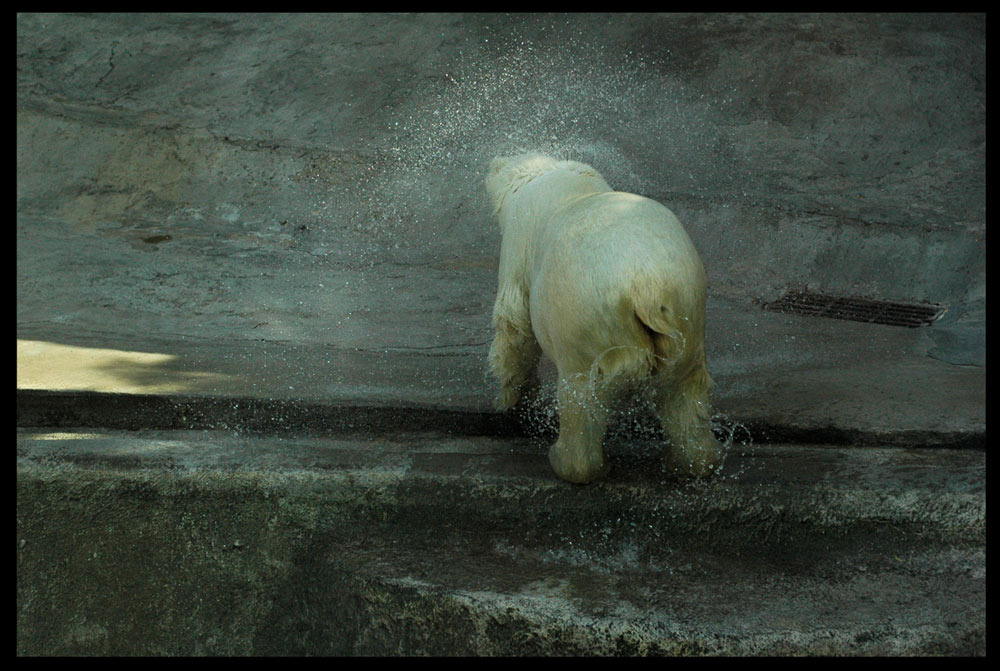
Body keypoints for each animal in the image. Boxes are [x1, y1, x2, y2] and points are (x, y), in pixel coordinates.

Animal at [485, 152, 722, 484]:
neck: (562, 181)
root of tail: (644, 291)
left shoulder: (518, 246)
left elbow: (515, 328)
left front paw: (512, 401)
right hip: (685, 313)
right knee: (685, 393)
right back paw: (691, 461)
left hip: (587, 325)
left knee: (581, 398)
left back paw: (568, 460)